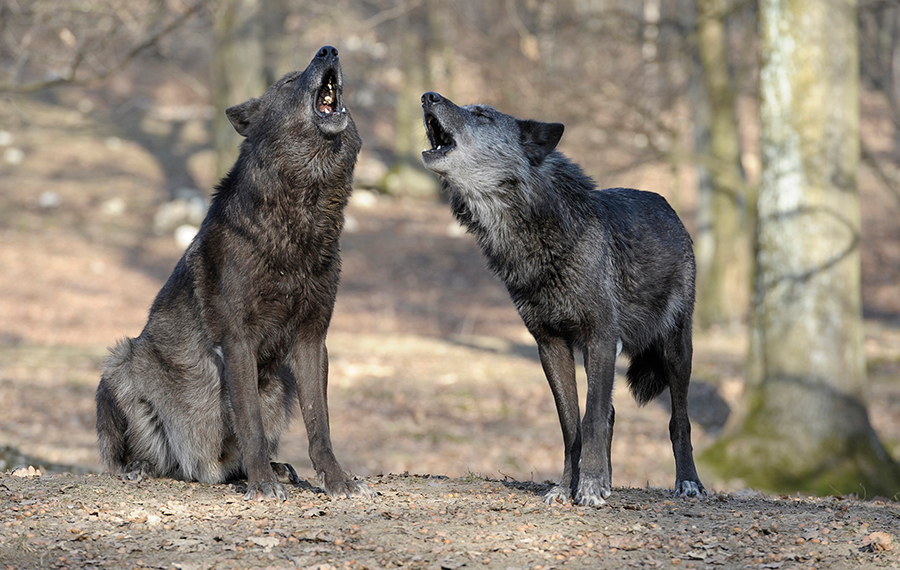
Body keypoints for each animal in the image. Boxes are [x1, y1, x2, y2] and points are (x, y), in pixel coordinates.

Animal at [95, 46, 373, 501]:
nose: (328, 50)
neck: (302, 210)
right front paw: (261, 484)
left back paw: (272, 469)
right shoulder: (238, 340)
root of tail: (202, 469)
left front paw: (337, 480)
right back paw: (142, 466)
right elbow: (250, 424)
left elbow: (320, 426)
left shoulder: (313, 340)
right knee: (134, 458)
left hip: (279, 385)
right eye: (289, 80)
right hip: (122, 361)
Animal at [420, 91, 706, 506]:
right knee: (611, 414)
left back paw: (688, 482)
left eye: (482, 115)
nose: (428, 96)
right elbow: (572, 423)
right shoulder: (550, 344)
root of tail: (668, 207)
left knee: (678, 419)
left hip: (676, 349)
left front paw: (588, 486)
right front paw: (569, 485)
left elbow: (591, 417)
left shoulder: (601, 337)